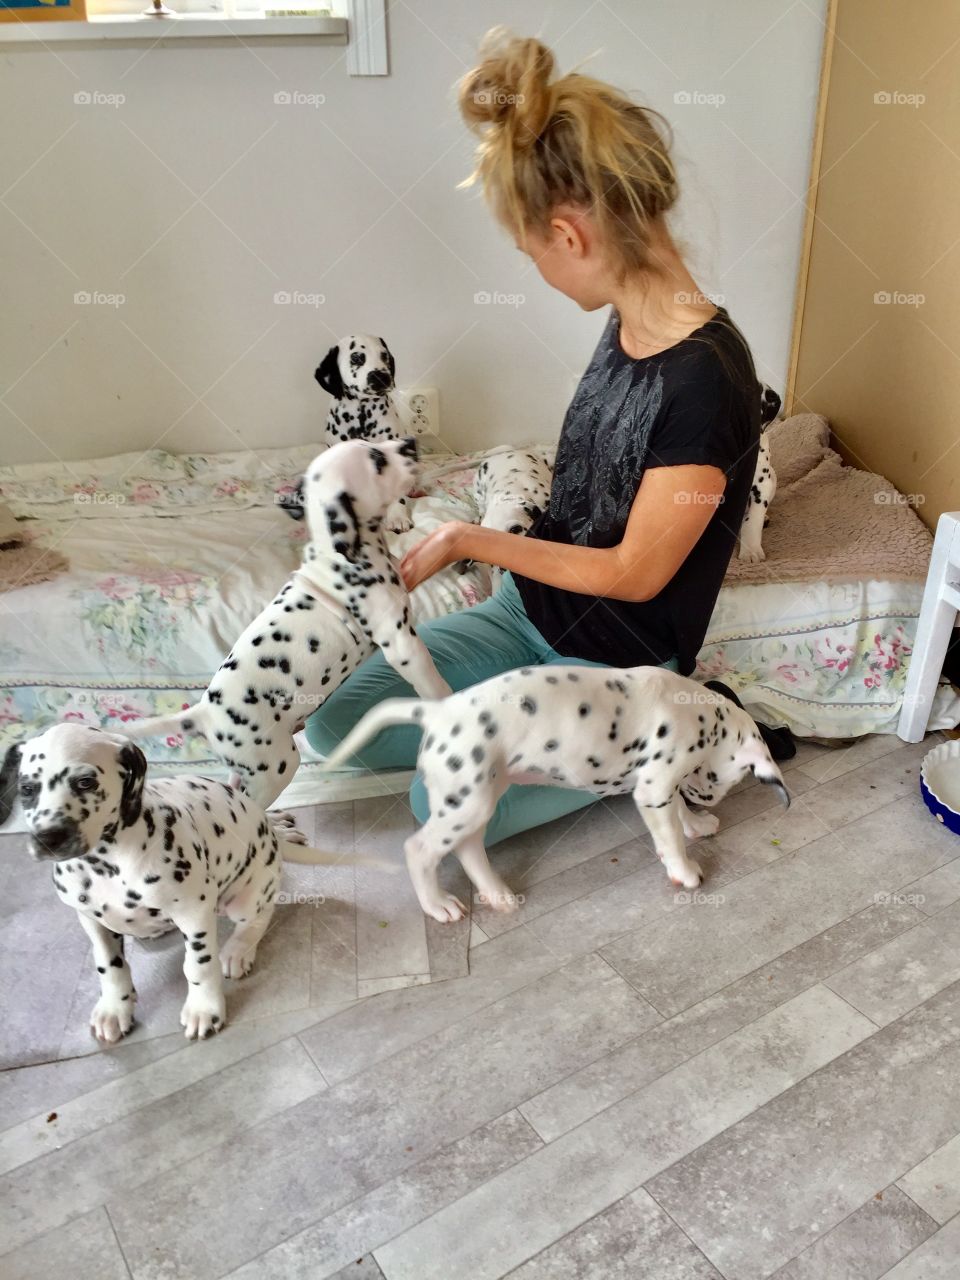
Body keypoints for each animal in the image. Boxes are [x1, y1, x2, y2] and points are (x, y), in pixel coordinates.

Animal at [1, 721, 391, 1039]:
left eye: (85, 782)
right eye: (27, 788)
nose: (48, 838)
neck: (106, 864)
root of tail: (271, 838)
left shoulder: (193, 913)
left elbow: (198, 964)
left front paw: (205, 1008)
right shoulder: (90, 920)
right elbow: (108, 965)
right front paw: (115, 1007)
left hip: (247, 895)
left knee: (259, 918)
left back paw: (237, 949)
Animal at [126, 435, 453, 803]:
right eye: (377, 460)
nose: (410, 441)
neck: (342, 557)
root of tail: (204, 714)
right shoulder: (402, 645)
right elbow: (431, 682)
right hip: (274, 768)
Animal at [323, 665, 788, 926]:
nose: (708, 799)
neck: (702, 714)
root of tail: (437, 711)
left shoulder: (657, 784)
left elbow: (675, 816)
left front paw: (695, 823)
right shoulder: (655, 785)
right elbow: (669, 833)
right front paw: (685, 869)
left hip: (479, 798)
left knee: (468, 846)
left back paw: (497, 895)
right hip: (467, 802)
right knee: (419, 849)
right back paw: (438, 905)